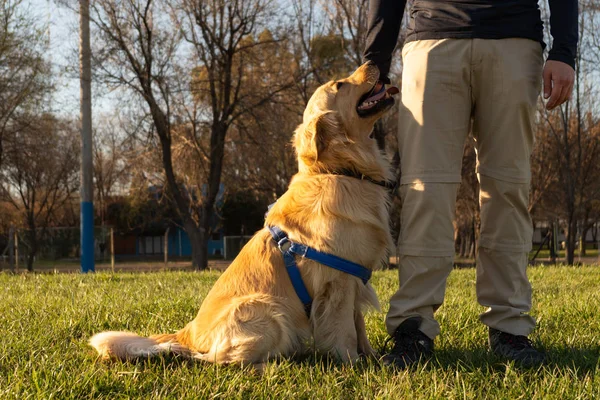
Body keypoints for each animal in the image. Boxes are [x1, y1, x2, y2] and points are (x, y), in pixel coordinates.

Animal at [89, 62, 398, 366]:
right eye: (339, 85)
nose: (373, 62)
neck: (340, 171)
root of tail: (188, 332)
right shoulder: (338, 282)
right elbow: (345, 331)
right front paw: (353, 364)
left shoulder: (355, 277)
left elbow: (359, 325)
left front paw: (374, 359)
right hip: (268, 308)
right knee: (218, 360)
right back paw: (271, 365)